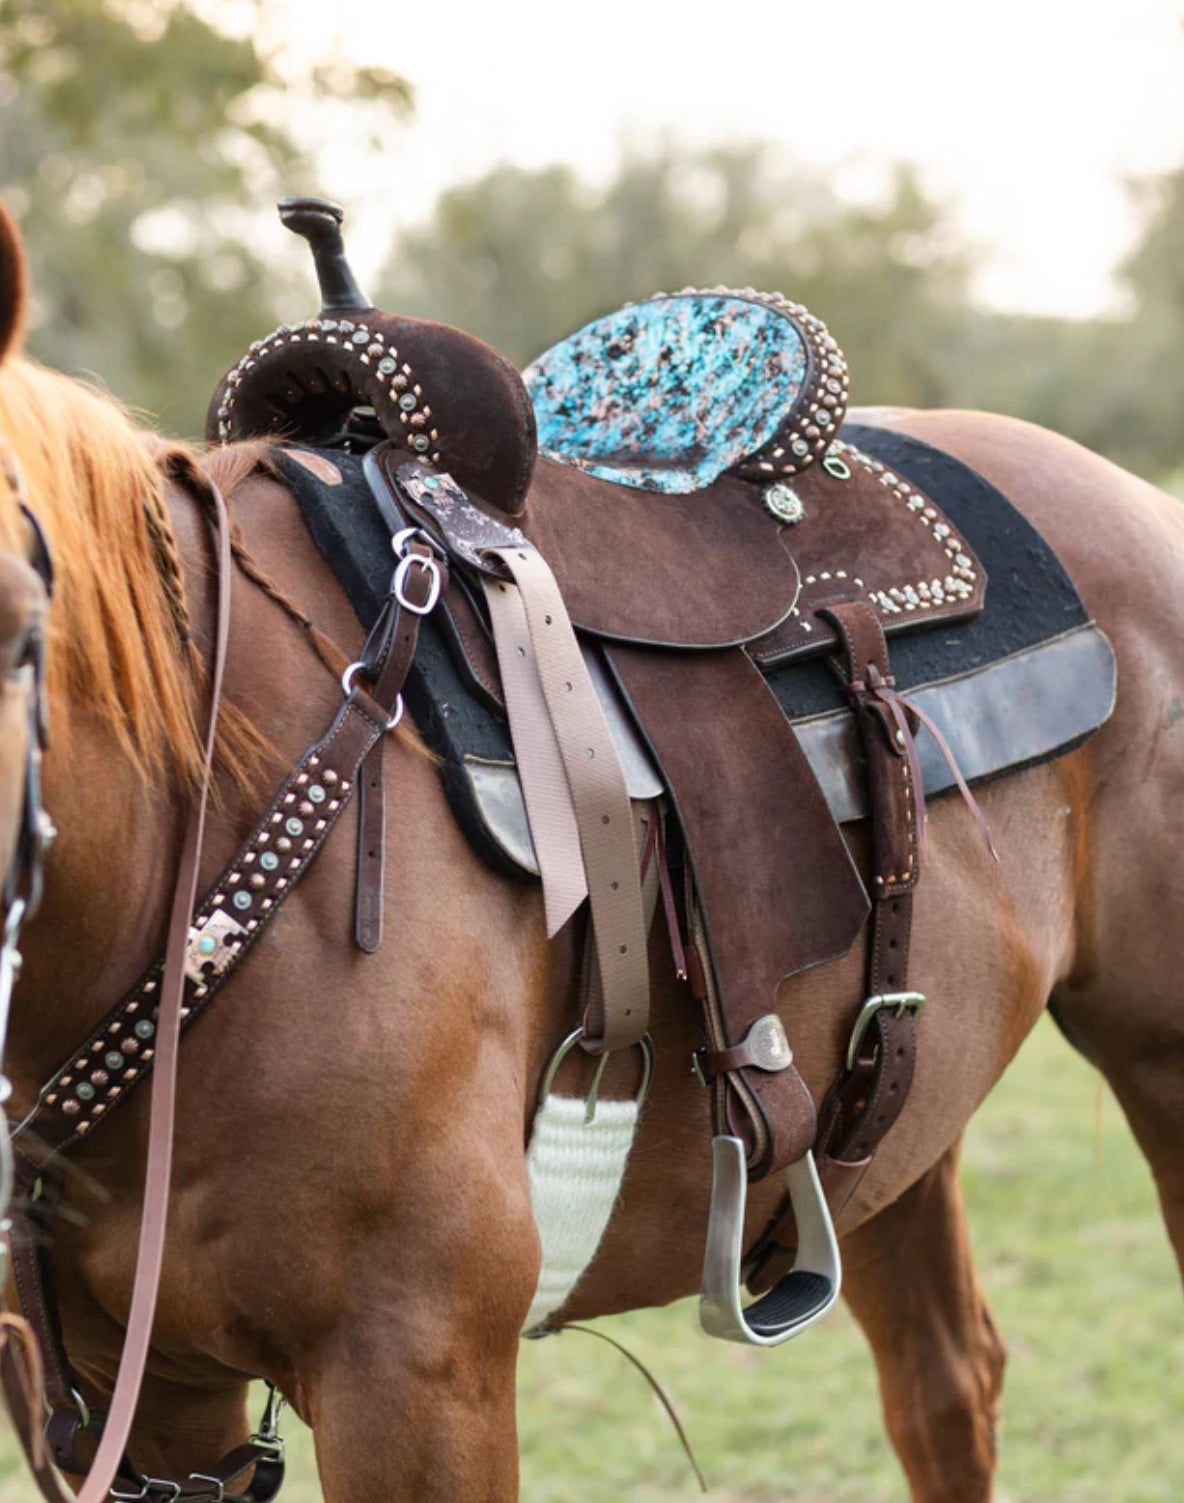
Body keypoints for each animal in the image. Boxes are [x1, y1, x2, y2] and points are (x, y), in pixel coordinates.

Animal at [2, 202, 1184, 1503]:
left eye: (20, 629)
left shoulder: (418, 1372)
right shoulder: (132, 1402)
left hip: (1159, 1060)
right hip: (892, 1128)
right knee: (946, 1388)